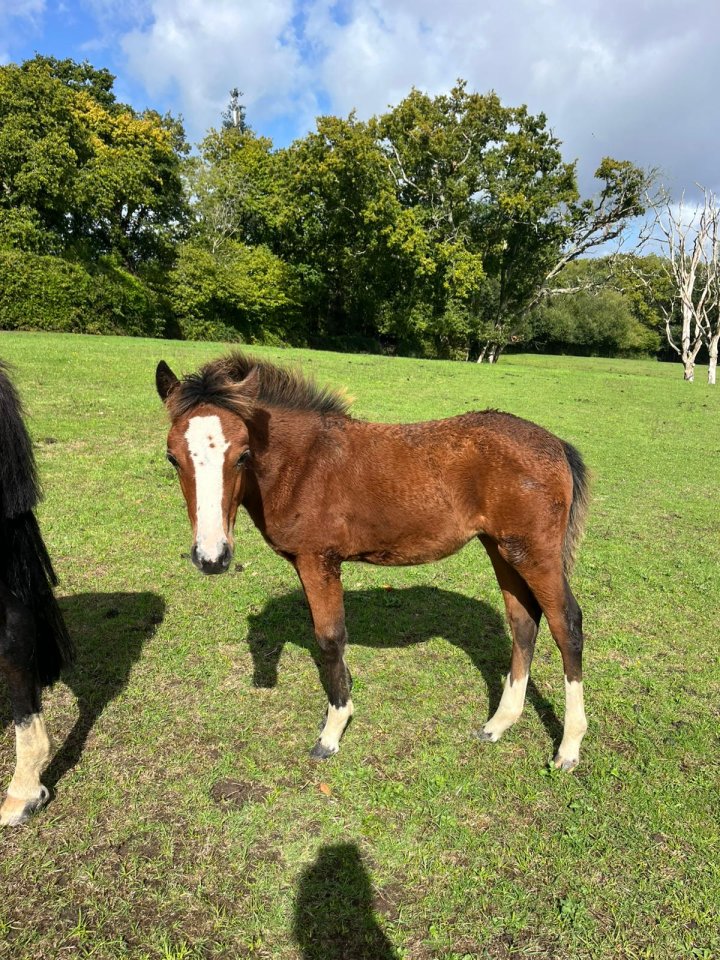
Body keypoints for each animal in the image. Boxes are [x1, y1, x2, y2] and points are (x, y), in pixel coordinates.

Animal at [156, 353, 590, 770]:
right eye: (173, 458)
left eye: (243, 455)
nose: (211, 557)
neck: (303, 463)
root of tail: (557, 444)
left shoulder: (318, 559)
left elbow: (330, 637)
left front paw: (332, 732)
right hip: (502, 548)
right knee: (523, 622)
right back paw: (498, 724)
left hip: (535, 552)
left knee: (565, 624)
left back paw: (568, 749)